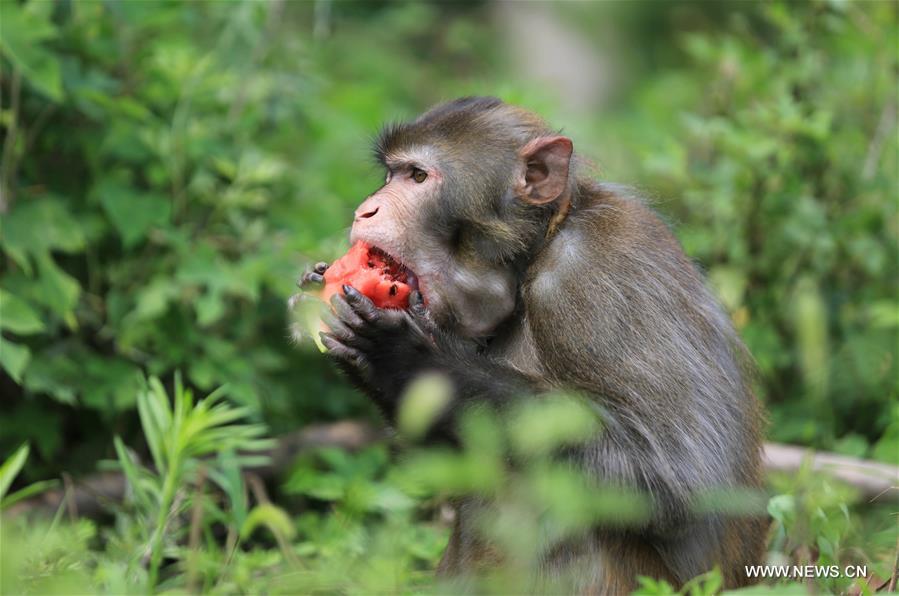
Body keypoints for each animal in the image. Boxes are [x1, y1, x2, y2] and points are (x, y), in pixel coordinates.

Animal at [298, 96, 768, 592]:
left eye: (418, 176)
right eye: (390, 174)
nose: (366, 210)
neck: (535, 255)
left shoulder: (599, 274)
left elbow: (680, 473)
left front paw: (405, 357)